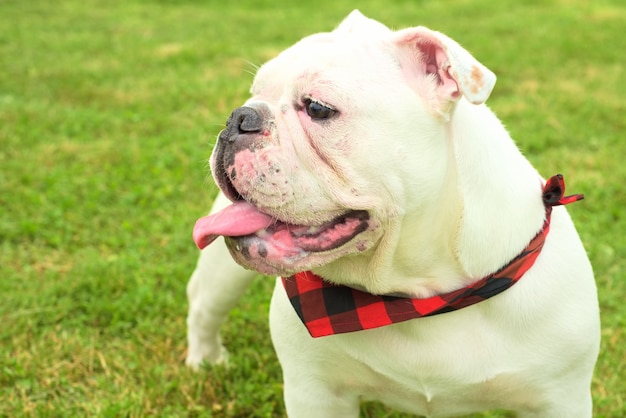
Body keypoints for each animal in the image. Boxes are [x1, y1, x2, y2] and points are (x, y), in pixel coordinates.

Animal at [184, 10, 596, 418]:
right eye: (255, 93)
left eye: (317, 108)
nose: (239, 117)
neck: (416, 294)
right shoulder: (315, 391)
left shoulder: (561, 397)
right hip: (223, 272)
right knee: (204, 305)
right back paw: (205, 361)